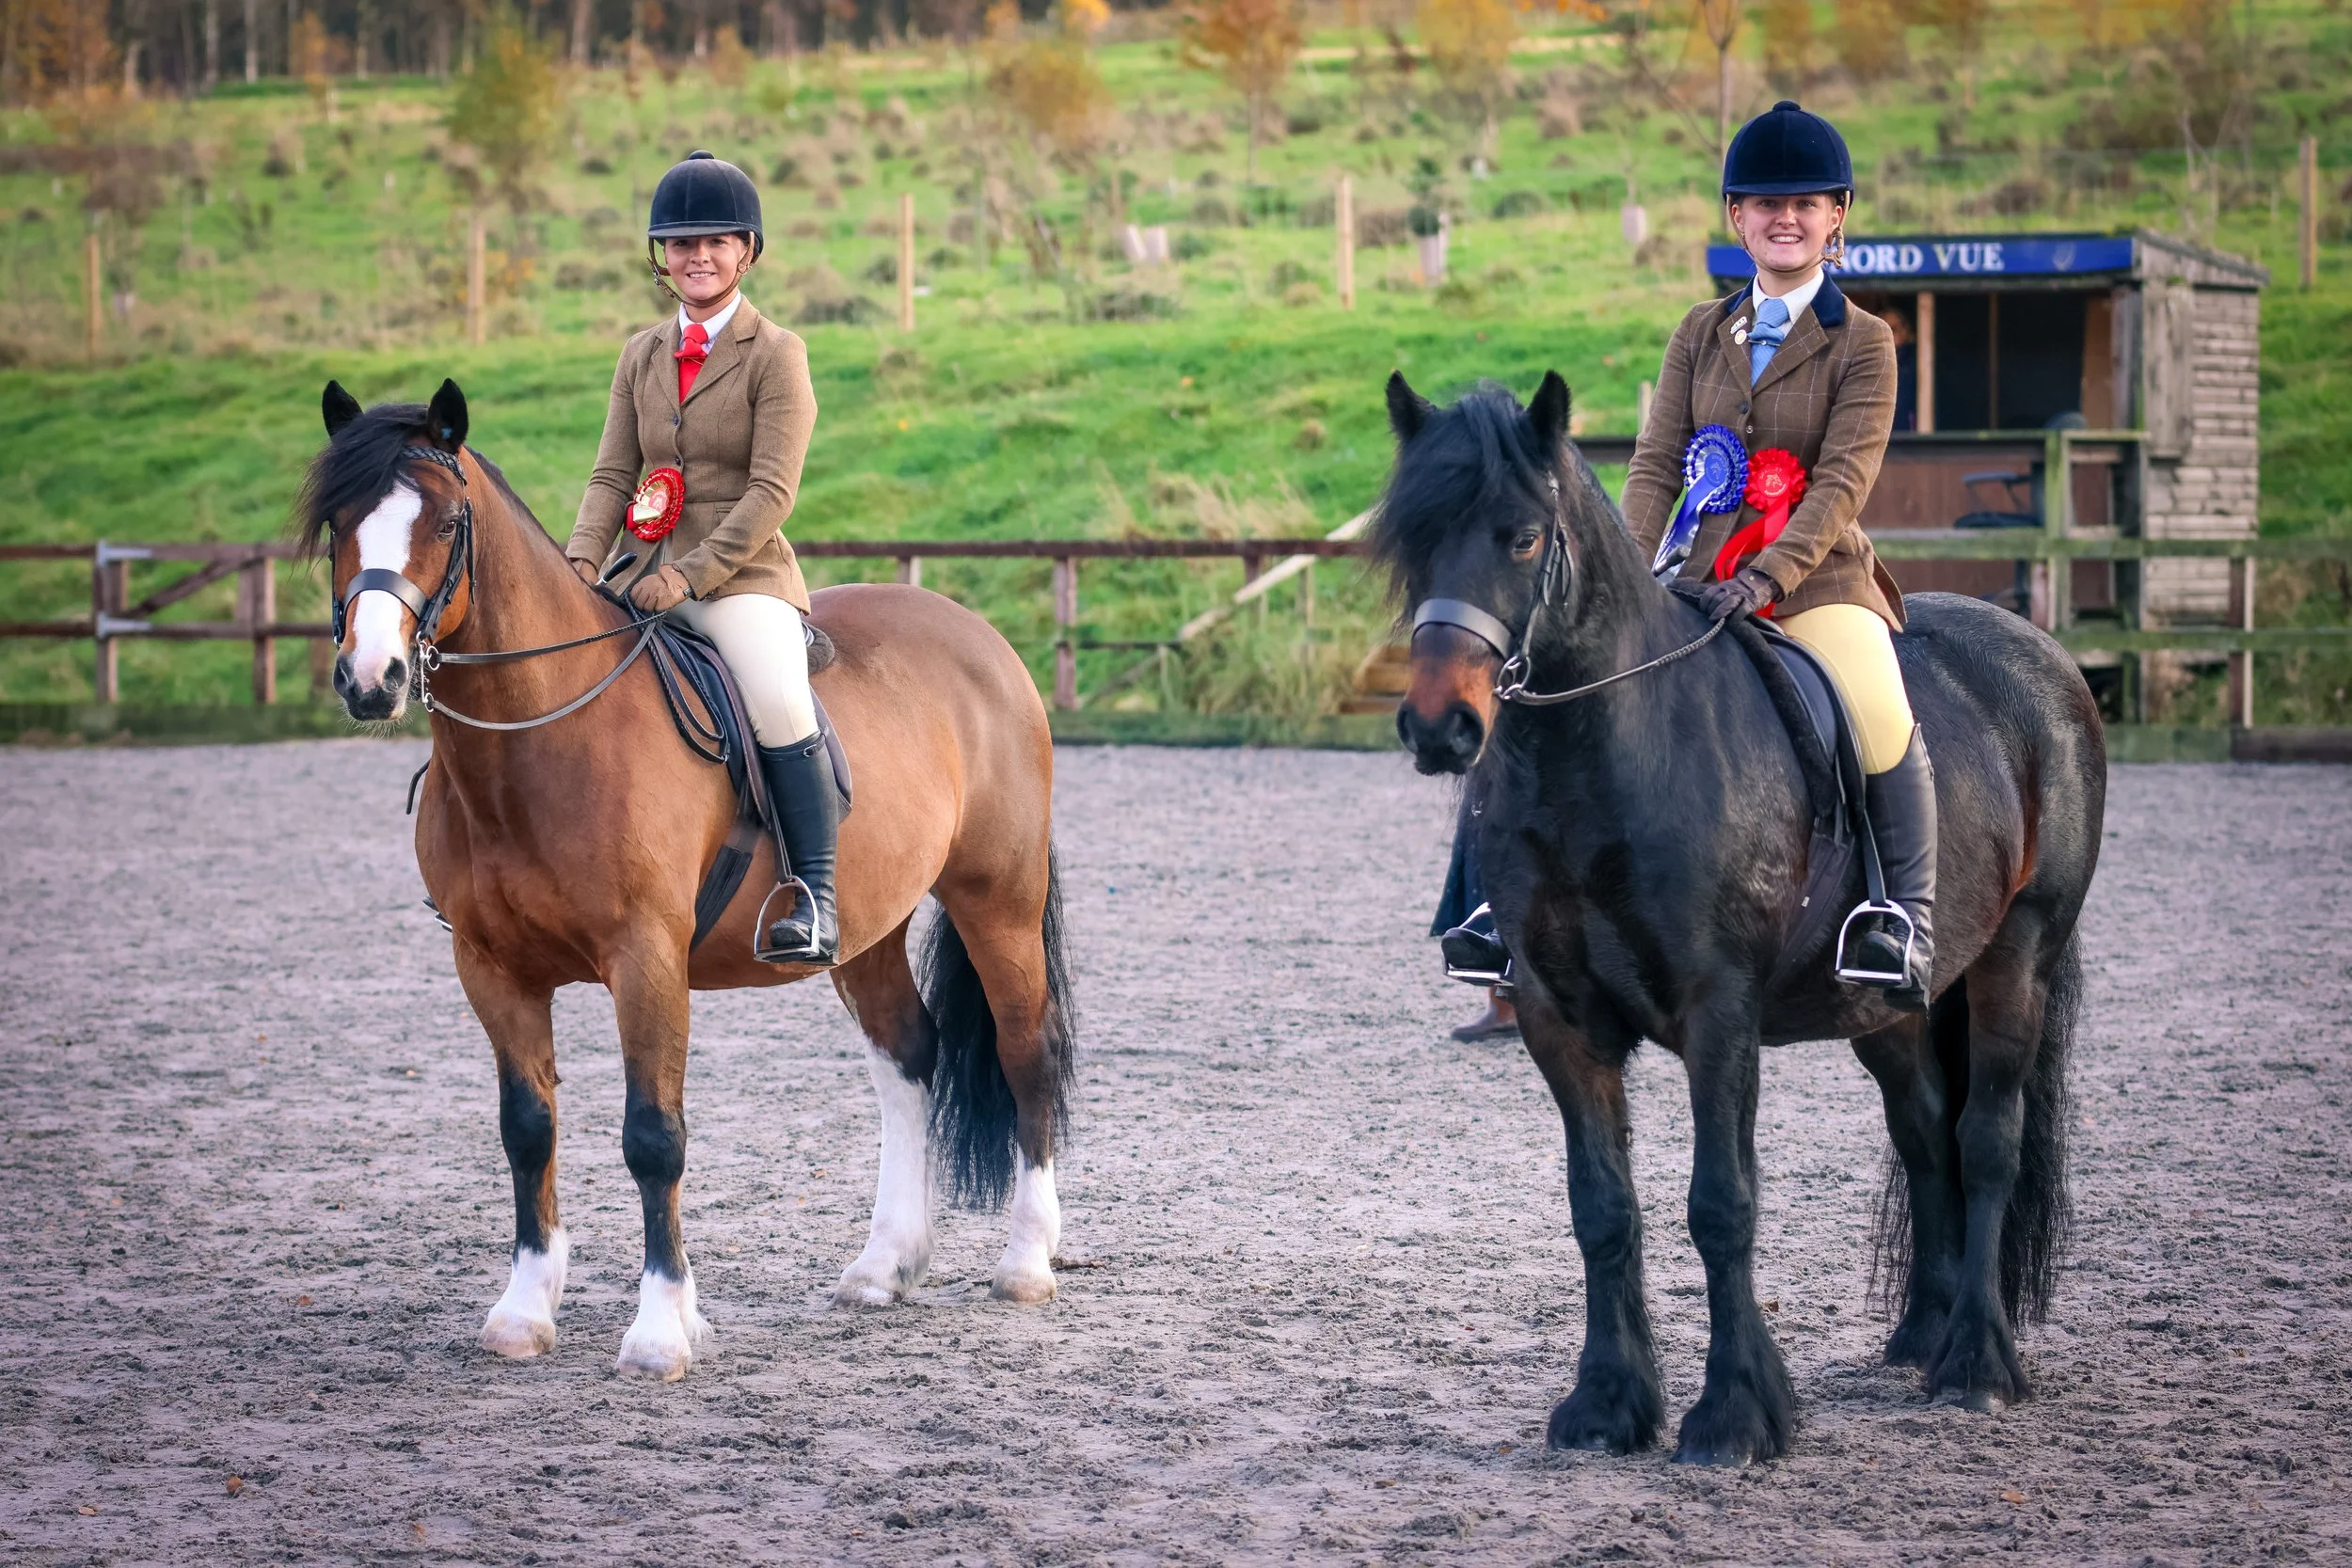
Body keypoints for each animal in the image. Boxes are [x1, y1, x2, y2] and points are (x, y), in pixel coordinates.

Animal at [297, 378, 1076, 1381]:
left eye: (444, 522)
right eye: (338, 522)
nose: (372, 678)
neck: (541, 742)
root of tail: (981, 636)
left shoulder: (647, 960)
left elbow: (653, 1136)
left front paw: (662, 1328)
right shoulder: (491, 967)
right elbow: (527, 1128)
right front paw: (524, 1311)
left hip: (998, 900)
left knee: (1026, 1052)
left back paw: (1025, 1261)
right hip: (865, 928)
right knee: (908, 1055)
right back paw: (884, 1266)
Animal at [1374, 371, 2104, 1465]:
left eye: (1523, 536)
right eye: (1410, 539)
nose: (1439, 726)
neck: (1605, 754)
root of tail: (2040, 656)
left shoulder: (1720, 1014)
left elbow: (1720, 1203)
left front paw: (1735, 1413)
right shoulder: (1555, 1016)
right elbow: (1602, 1207)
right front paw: (1606, 1404)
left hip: (2018, 956)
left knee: (1986, 1138)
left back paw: (1974, 1362)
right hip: (1886, 1006)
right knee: (1924, 1131)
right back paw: (1919, 1334)